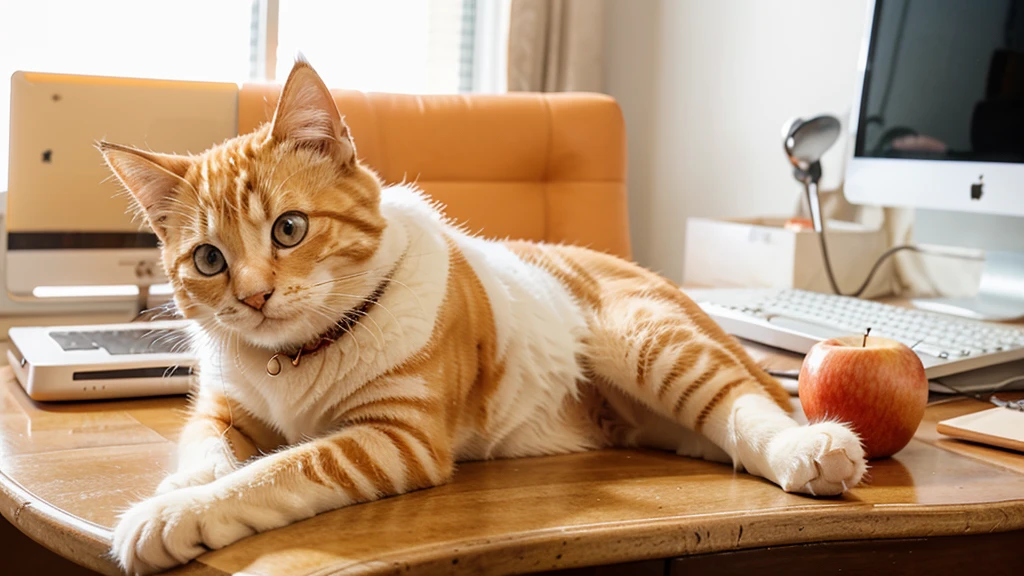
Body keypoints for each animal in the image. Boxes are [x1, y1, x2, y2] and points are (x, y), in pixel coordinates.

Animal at [99, 60, 864, 569]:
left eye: (289, 229)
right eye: (208, 260)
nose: (253, 297)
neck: (297, 359)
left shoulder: (394, 437)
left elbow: (274, 471)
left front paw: (173, 513)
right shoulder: (223, 410)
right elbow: (208, 451)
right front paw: (183, 484)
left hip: (653, 343)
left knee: (746, 404)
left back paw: (812, 450)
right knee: (723, 435)